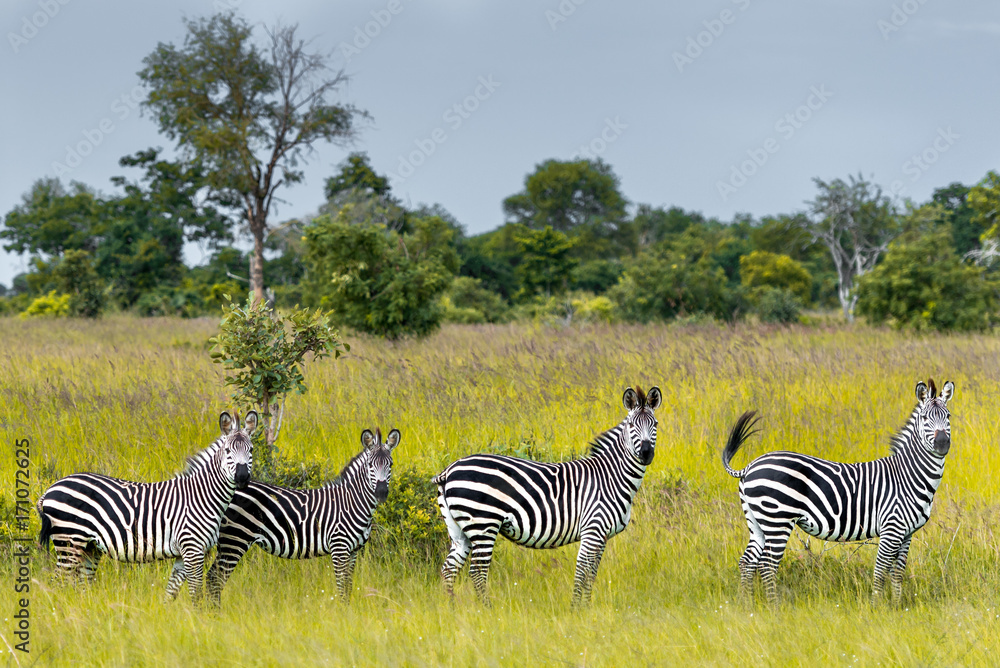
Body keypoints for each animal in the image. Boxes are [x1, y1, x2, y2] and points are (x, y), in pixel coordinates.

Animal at [37, 411, 256, 603]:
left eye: (251, 450)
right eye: (227, 451)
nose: (242, 477)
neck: (203, 496)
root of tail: (49, 490)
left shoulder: (182, 553)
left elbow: (171, 592)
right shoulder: (193, 549)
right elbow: (196, 593)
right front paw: (200, 619)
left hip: (89, 547)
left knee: (82, 586)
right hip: (69, 541)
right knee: (57, 583)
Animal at [206, 427, 400, 604]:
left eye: (390, 464)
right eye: (370, 466)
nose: (381, 493)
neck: (352, 502)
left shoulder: (353, 551)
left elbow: (348, 585)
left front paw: (349, 610)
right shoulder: (339, 547)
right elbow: (341, 586)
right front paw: (345, 613)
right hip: (235, 539)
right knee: (214, 578)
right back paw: (215, 614)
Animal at [434, 385, 661, 606]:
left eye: (655, 424)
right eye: (631, 425)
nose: (647, 453)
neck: (611, 477)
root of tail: (449, 470)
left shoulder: (602, 536)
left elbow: (591, 575)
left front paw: (587, 608)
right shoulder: (592, 530)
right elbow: (582, 572)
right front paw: (576, 609)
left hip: (460, 531)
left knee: (449, 570)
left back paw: (452, 609)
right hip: (483, 524)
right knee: (477, 573)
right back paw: (487, 610)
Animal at [722, 379, 954, 605]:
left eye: (948, 416)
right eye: (925, 417)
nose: (942, 443)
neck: (908, 475)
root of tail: (750, 466)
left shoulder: (906, 533)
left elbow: (897, 573)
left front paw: (896, 606)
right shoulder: (891, 528)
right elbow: (880, 571)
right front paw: (876, 607)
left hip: (758, 522)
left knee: (747, 562)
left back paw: (747, 604)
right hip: (777, 520)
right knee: (767, 565)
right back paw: (774, 607)